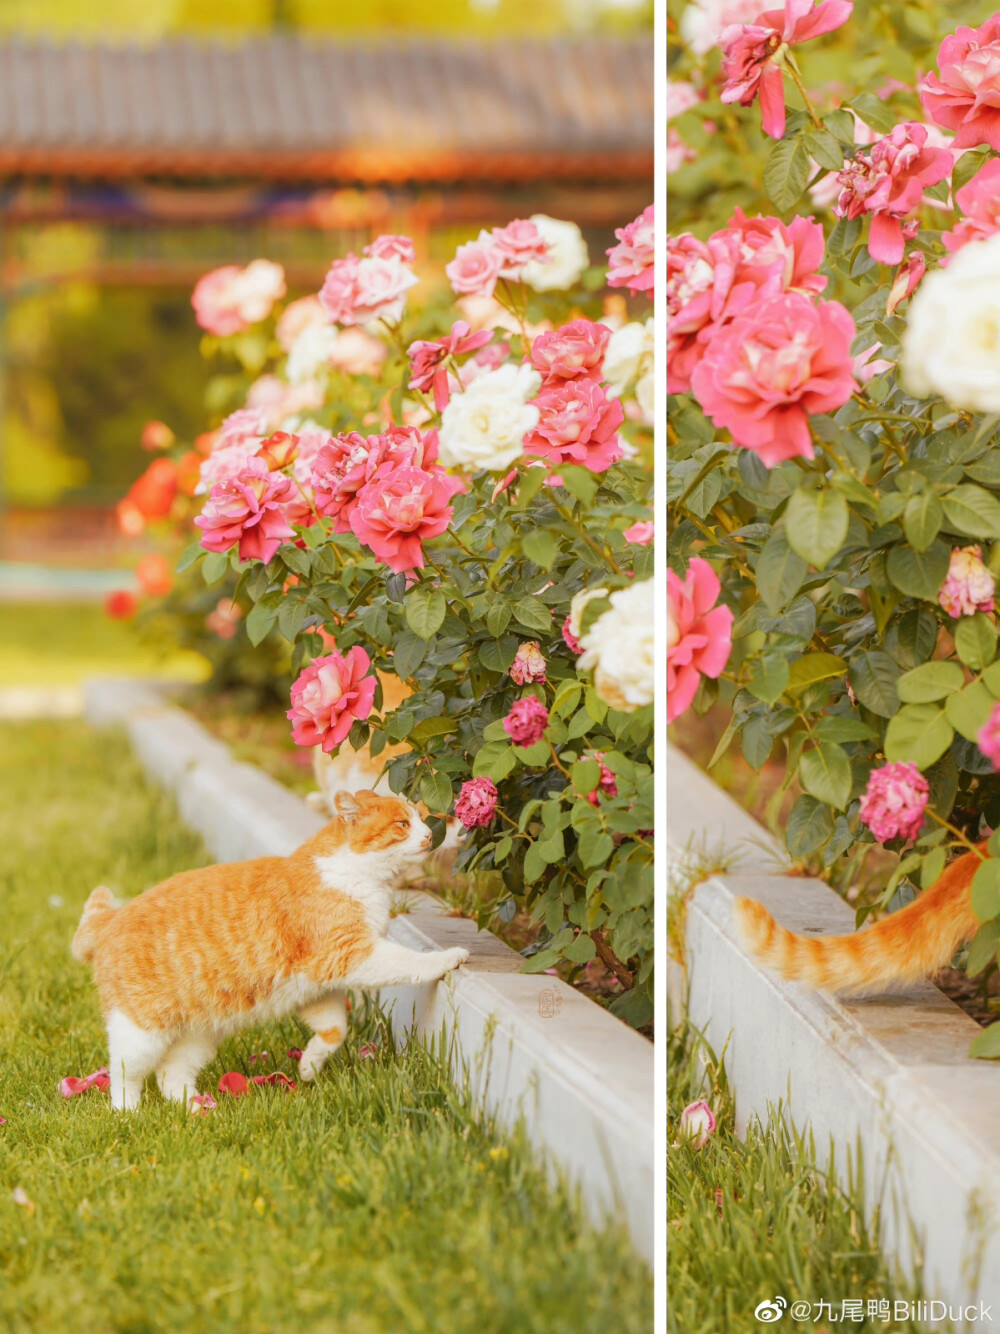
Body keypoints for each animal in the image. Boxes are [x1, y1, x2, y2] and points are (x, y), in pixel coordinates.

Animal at [72, 784, 472, 1109]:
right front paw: (447, 958)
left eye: (420, 818)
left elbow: (335, 1030)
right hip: (140, 1032)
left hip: (200, 1036)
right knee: (125, 1073)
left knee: (171, 1075)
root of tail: (112, 917)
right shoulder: (351, 954)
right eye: (403, 824)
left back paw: (196, 1107)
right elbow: (408, 961)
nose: (429, 835)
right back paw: (128, 1112)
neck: (353, 875)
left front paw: (309, 1065)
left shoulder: (317, 987)